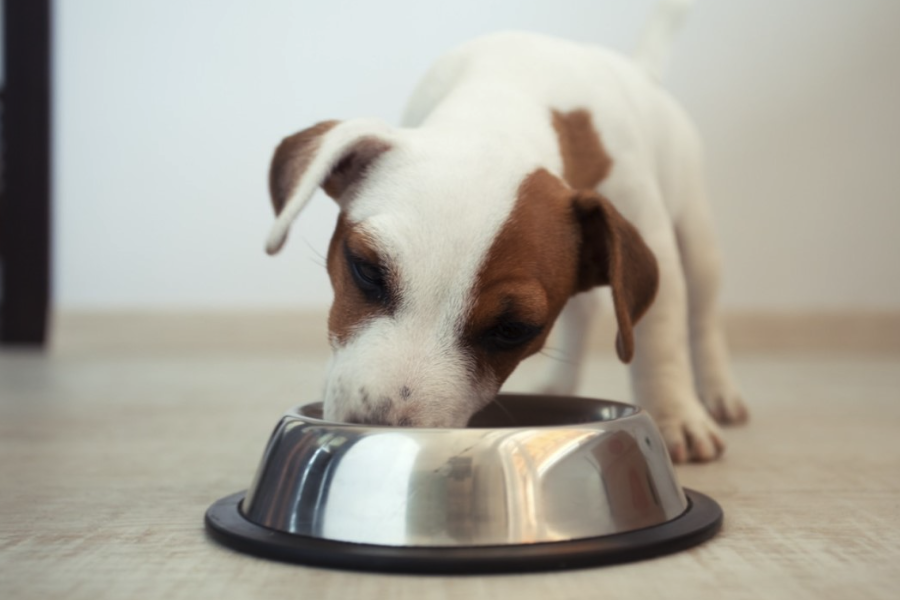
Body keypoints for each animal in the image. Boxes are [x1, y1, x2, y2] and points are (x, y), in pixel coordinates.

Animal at [264, 2, 748, 462]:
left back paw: (717, 392)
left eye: (513, 329)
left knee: (702, 319)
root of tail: (641, 70)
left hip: (696, 240)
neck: (506, 98)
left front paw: (675, 415)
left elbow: (659, 341)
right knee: (584, 311)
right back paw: (559, 384)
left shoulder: (652, 234)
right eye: (366, 270)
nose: (381, 429)